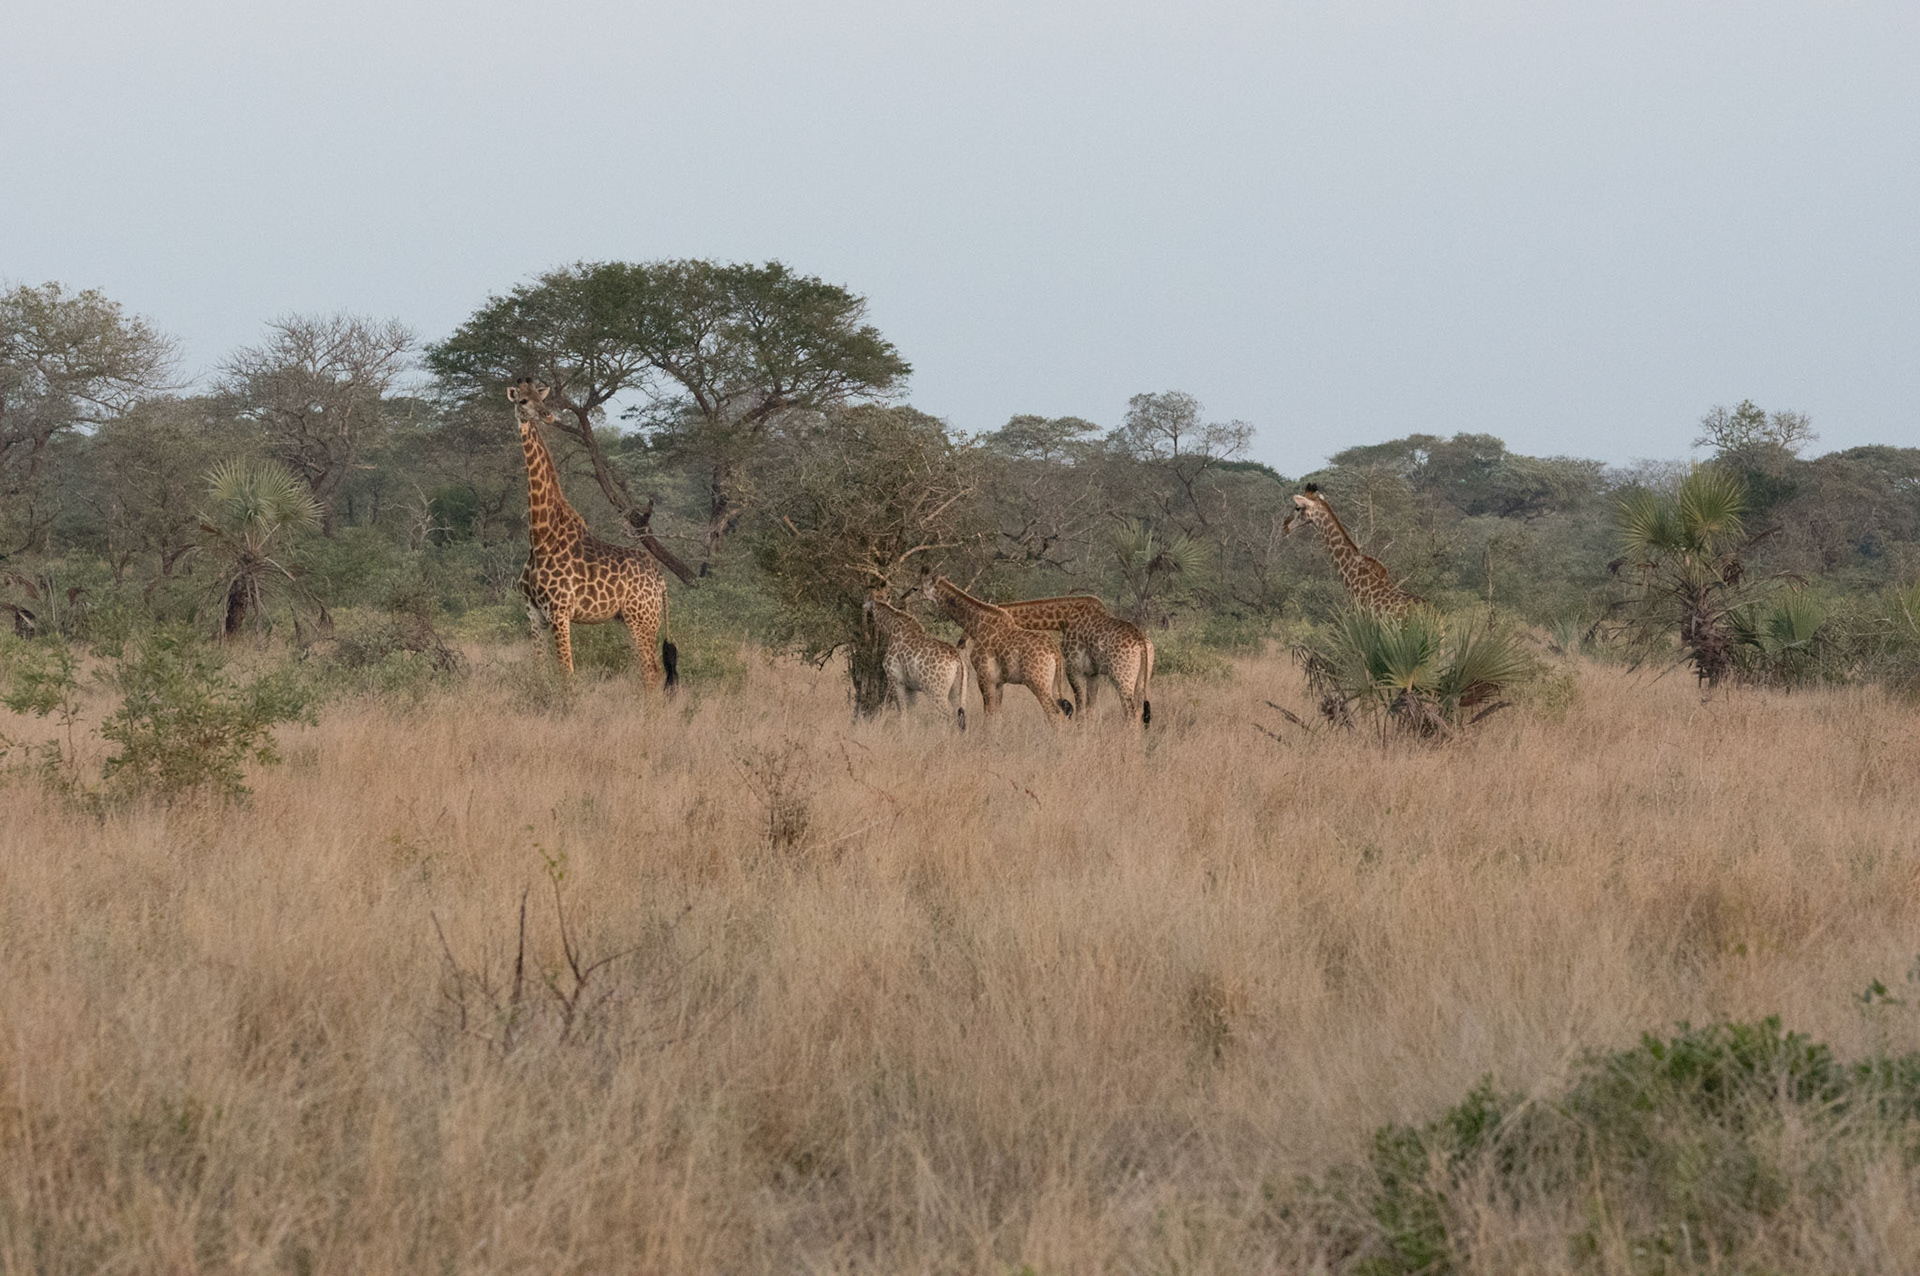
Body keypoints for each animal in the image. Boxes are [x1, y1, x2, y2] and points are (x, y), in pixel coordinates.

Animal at [514, 376, 679, 686]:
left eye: (543, 399)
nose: (547, 415)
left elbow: (566, 674)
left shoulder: (560, 611)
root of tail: (661, 580)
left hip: (643, 618)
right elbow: (540, 671)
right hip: (631, 620)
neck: (541, 535)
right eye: (522, 400)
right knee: (647, 670)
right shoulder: (534, 614)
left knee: (652, 671)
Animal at [864, 590, 967, 732]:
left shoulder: (896, 680)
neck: (891, 629)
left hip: (935, 691)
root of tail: (957, 660)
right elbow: (911, 711)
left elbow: (902, 711)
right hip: (958, 689)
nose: (863, 606)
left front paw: (903, 733)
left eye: (869, 599)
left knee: (945, 715)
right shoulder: (911, 687)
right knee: (961, 715)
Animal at [917, 575, 1082, 721]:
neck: (977, 622)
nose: (960, 643)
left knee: (1055, 713)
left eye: (917, 587)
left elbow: (989, 714)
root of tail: (1055, 652)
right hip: (1052, 683)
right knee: (1063, 710)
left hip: (1038, 682)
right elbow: (997, 716)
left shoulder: (985, 677)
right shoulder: (999, 682)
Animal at [990, 590, 1152, 721]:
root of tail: (1142, 644)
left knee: (1130, 712)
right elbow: (1089, 710)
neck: (1063, 618)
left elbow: (1080, 710)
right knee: (1139, 711)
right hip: (1142, 677)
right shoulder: (1092, 673)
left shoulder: (1073, 667)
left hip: (1121, 676)